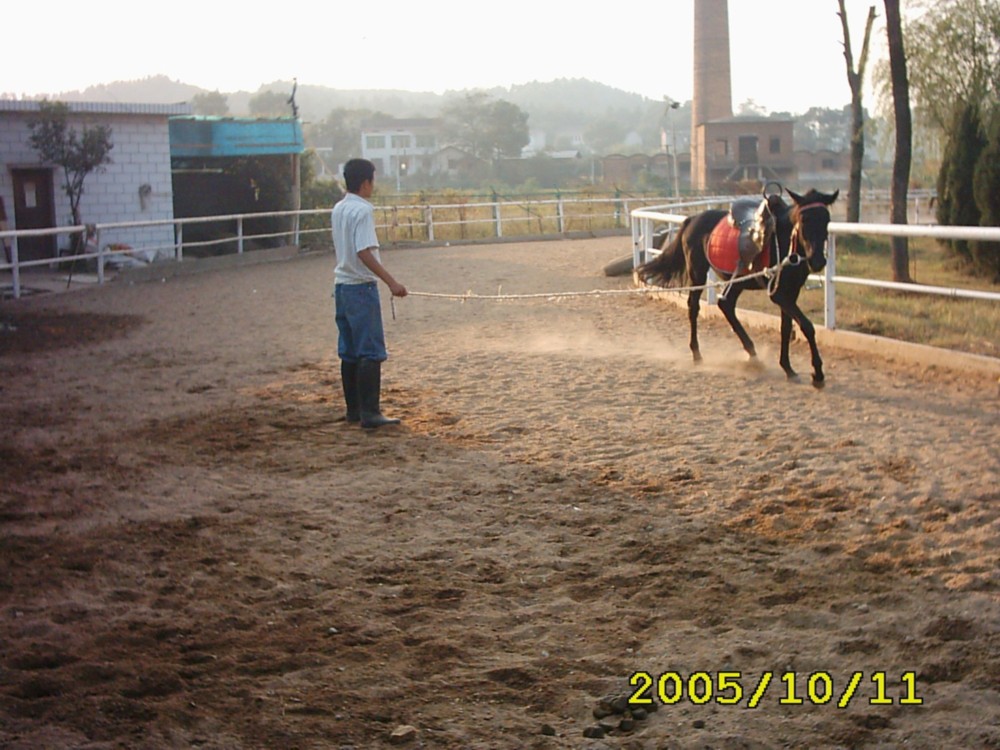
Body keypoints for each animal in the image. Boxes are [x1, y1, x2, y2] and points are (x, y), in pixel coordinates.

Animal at [640, 188, 836, 390]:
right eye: (804, 219)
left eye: (826, 219)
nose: (818, 261)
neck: (783, 241)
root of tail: (692, 219)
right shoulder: (779, 294)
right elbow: (807, 326)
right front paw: (817, 374)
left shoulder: (791, 292)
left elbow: (786, 328)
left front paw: (788, 368)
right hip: (698, 273)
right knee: (694, 307)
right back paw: (697, 354)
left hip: (737, 281)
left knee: (725, 305)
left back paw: (753, 354)